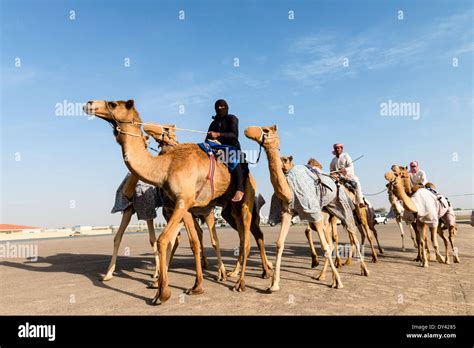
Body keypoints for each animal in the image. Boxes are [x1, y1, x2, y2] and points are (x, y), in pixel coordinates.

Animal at [83, 99, 272, 304]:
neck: (166, 167)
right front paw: (196, 286)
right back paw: (252, 272)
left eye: (113, 104)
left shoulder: (181, 201)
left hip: (245, 200)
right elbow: (193, 242)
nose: (89, 104)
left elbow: (163, 239)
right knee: (244, 235)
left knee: (248, 238)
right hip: (229, 210)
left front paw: (161, 293)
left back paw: (241, 282)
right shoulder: (184, 206)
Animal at [244, 125, 370, 290]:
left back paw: (364, 269)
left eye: (266, 130)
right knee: (341, 236)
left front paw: (339, 281)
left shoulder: (314, 213)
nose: (247, 130)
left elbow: (325, 246)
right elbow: (279, 244)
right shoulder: (287, 212)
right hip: (330, 210)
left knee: (352, 234)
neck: (290, 190)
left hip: (344, 207)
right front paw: (274, 285)